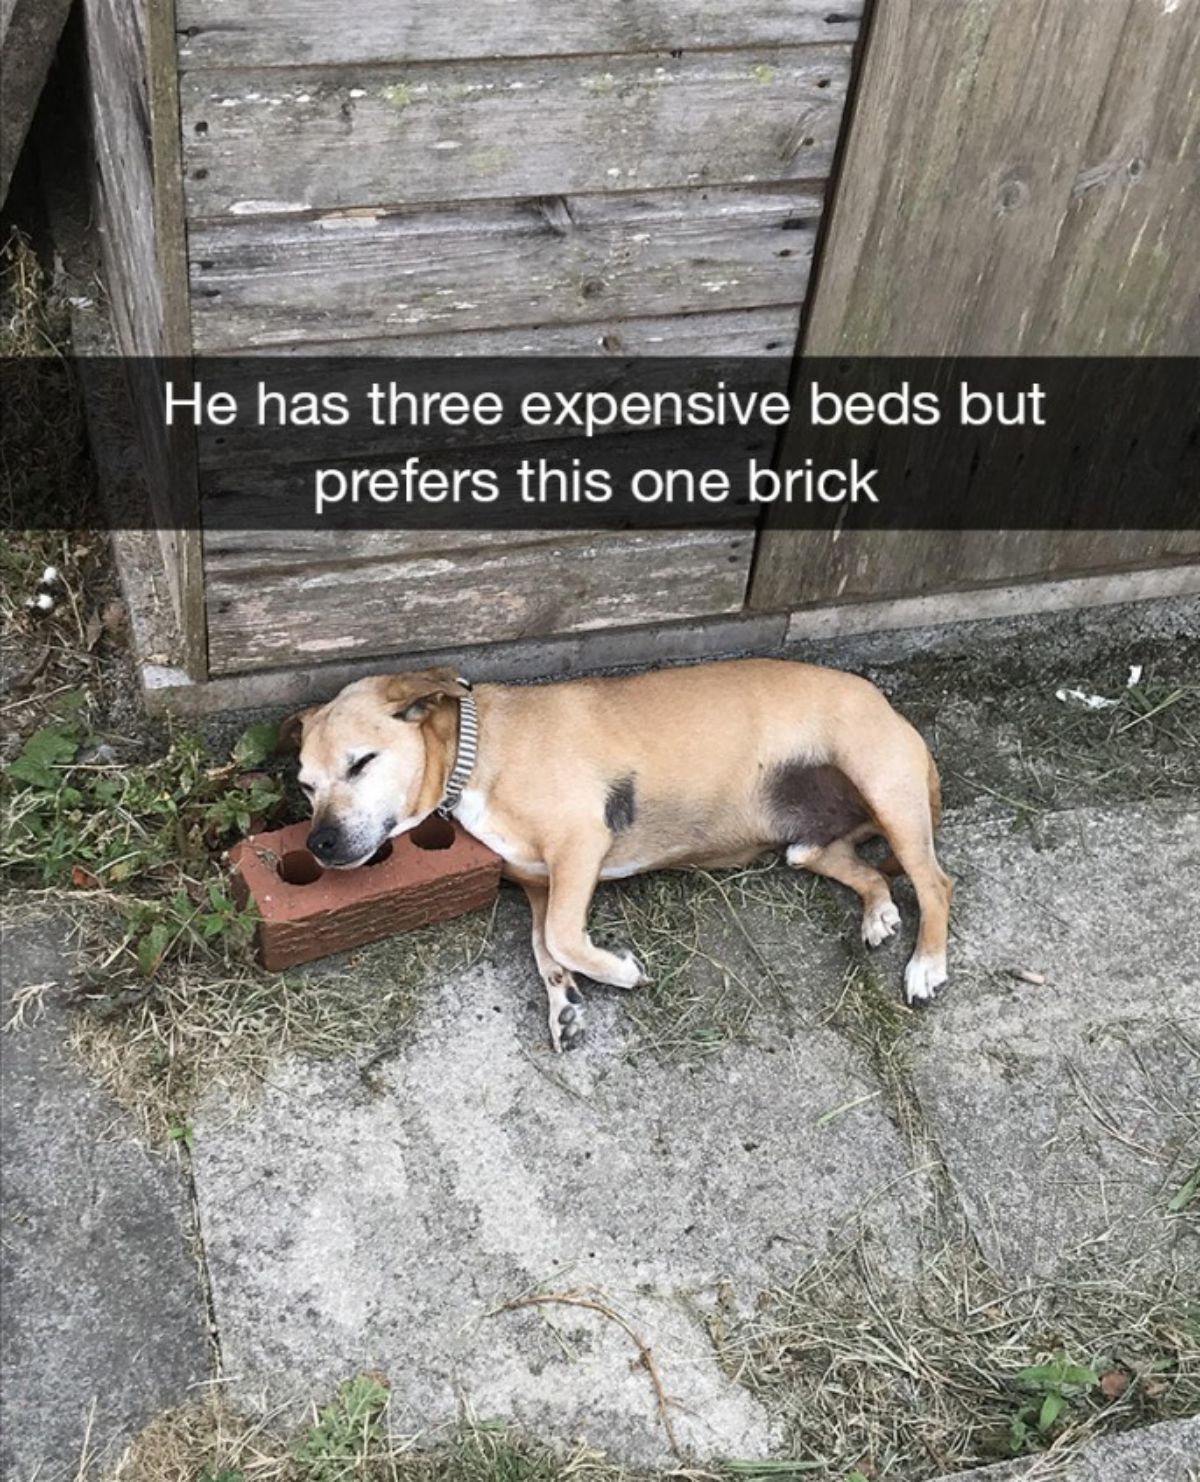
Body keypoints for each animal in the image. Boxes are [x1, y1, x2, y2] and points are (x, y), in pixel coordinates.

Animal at [285, 660, 948, 1055]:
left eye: (361, 763)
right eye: (305, 787)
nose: (320, 843)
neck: (475, 756)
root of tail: (890, 708)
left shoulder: (580, 844)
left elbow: (561, 937)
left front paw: (621, 972)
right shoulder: (539, 882)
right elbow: (544, 948)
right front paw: (564, 1004)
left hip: (888, 792)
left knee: (936, 883)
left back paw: (926, 965)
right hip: (806, 847)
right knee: (870, 871)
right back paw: (877, 912)